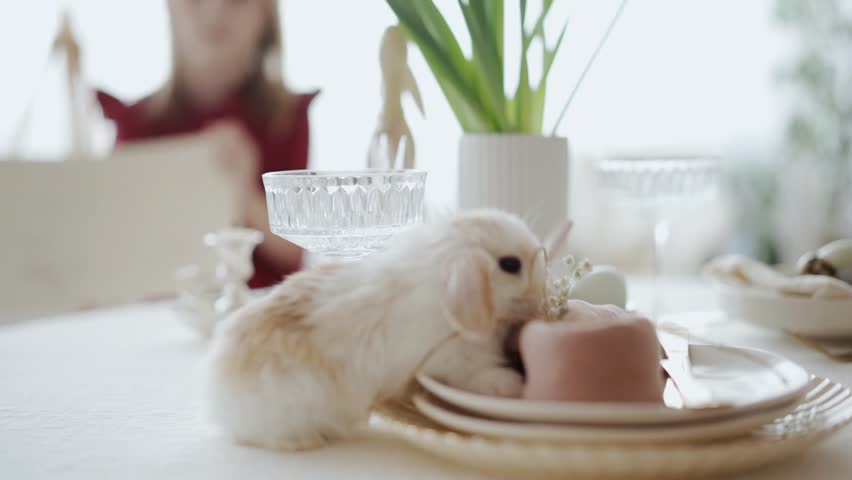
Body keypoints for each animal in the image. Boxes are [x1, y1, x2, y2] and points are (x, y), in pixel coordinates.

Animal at [203, 208, 550, 451]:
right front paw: (511, 385)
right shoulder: (448, 361)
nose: (541, 295)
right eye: (511, 264)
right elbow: (476, 375)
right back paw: (304, 442)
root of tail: (220, 399)